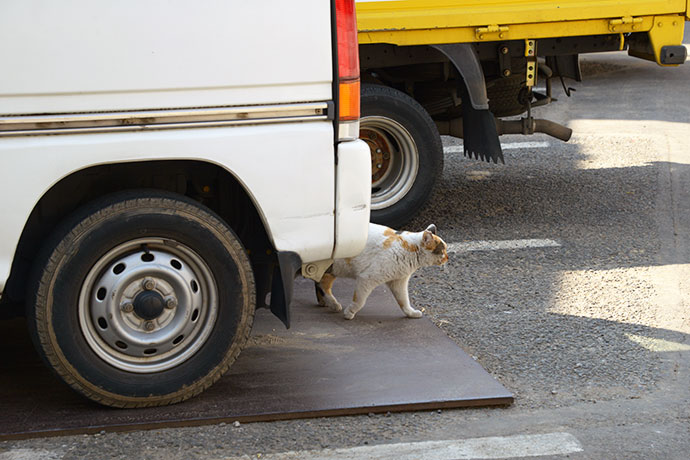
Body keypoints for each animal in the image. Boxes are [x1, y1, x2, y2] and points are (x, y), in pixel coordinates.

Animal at [314, 223, 448, 320]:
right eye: (442, 251)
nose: (448, 258)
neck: (408, 249)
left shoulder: (398, 282)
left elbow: (404, 301)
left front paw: (411, 313)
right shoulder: (367, 279)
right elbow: (360, 300)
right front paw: (350, 312)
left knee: (320, 284)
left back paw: (327, 303)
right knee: (322, 284)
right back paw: (334, 304)